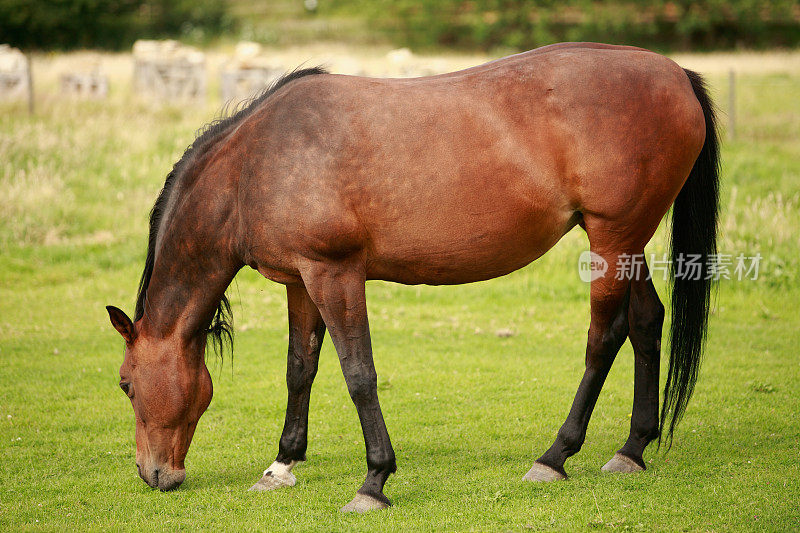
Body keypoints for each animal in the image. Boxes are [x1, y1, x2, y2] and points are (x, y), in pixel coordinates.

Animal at [106, 42, 720, 512]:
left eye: (126, 384)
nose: (155, 475)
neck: (256, 164)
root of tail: (675, 74)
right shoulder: (300, 280)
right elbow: (300, 368)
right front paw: (282, 464)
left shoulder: (334, 273)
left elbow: (358, 374)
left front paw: (374, 481)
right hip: (626, 242)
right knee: (646, 322)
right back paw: (632, 448)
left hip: (612, 239)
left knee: (604, 337)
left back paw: (555, 456)